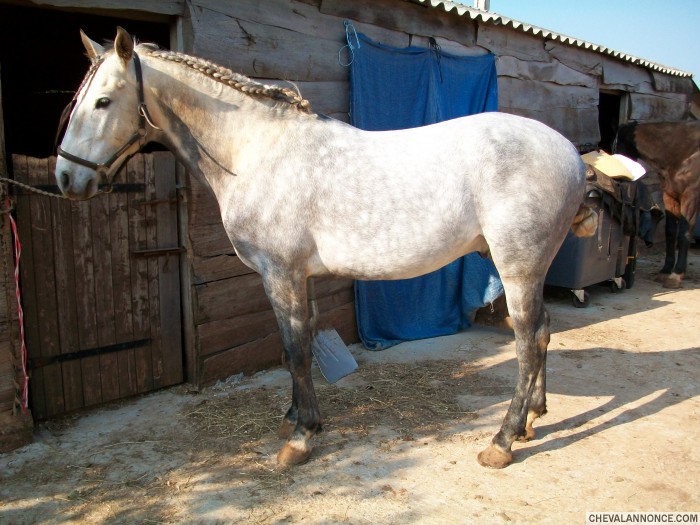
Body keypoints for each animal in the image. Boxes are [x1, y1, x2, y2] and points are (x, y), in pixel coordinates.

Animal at [56, 27, 596, 466]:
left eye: (103, 102)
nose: (65, 178)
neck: (256, 151)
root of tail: (569, 152)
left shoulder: (280, 273)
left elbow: (296, 350)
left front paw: (300, 439)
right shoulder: (300, 276)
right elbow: (296, 344)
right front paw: (294, 418)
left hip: (518, 266)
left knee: (528, 341)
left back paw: (502, 441)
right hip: (525, 267)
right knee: (544, 331)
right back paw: (532, 420)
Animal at [616, 121, 696, 288]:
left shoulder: (690, 198)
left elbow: (684, 235)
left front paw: (676, 275)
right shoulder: (670, 197)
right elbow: (670, 232)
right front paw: (665, 271)